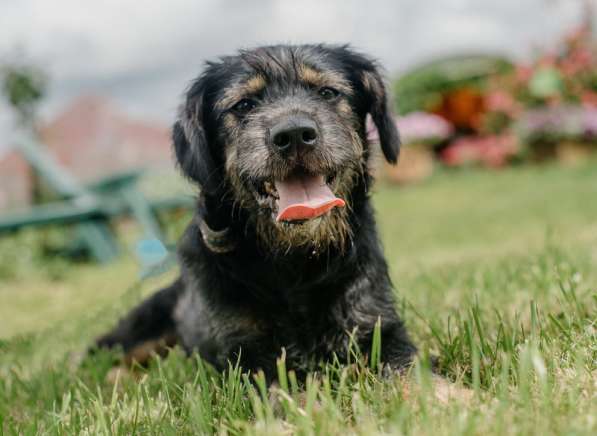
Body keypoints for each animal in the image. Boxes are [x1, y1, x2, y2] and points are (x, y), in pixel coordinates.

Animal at [96, 42, 414, 380]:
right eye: (244, 104)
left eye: (327, 92)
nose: (294, 134)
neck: (293, 259)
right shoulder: (245, 353)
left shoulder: (375, 323)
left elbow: (408, 371)